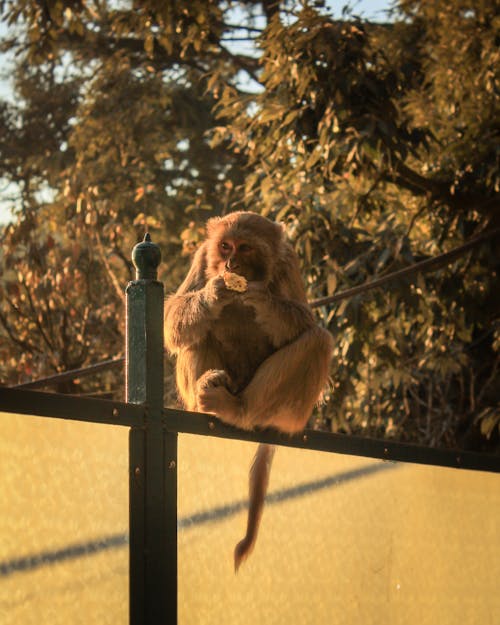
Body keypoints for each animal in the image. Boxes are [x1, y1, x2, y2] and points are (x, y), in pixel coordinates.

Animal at [164, 211, 334, 572]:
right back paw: (207, 397)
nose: (230, 264)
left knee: (318, 340)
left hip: (291, 411)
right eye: (225, 246)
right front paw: (213, 294)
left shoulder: (288, 263)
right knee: (196, 333)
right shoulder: (202, 256)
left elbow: (304, 320)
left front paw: (258, 297)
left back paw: (238, 410)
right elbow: (172, 321)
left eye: (245, 247)